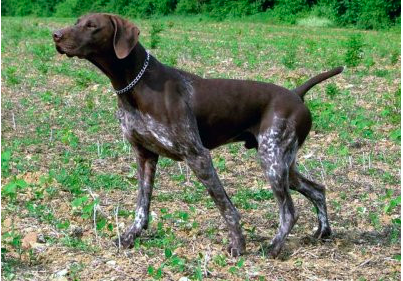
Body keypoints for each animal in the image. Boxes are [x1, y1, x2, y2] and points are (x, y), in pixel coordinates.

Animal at [52, 13, 344, 258]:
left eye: (91, 25)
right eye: (77, 21)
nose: (55, 34)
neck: (135, 85)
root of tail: (296, 93)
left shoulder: (197, 155)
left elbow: (226, 207)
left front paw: (238, 245)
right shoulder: (145, 155)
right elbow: (141, 206)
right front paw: (130, 236)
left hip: (272, 161)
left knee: (289, 212)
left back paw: (273, 247)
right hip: (284, 163)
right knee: (317, 189)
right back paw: (323, 232)